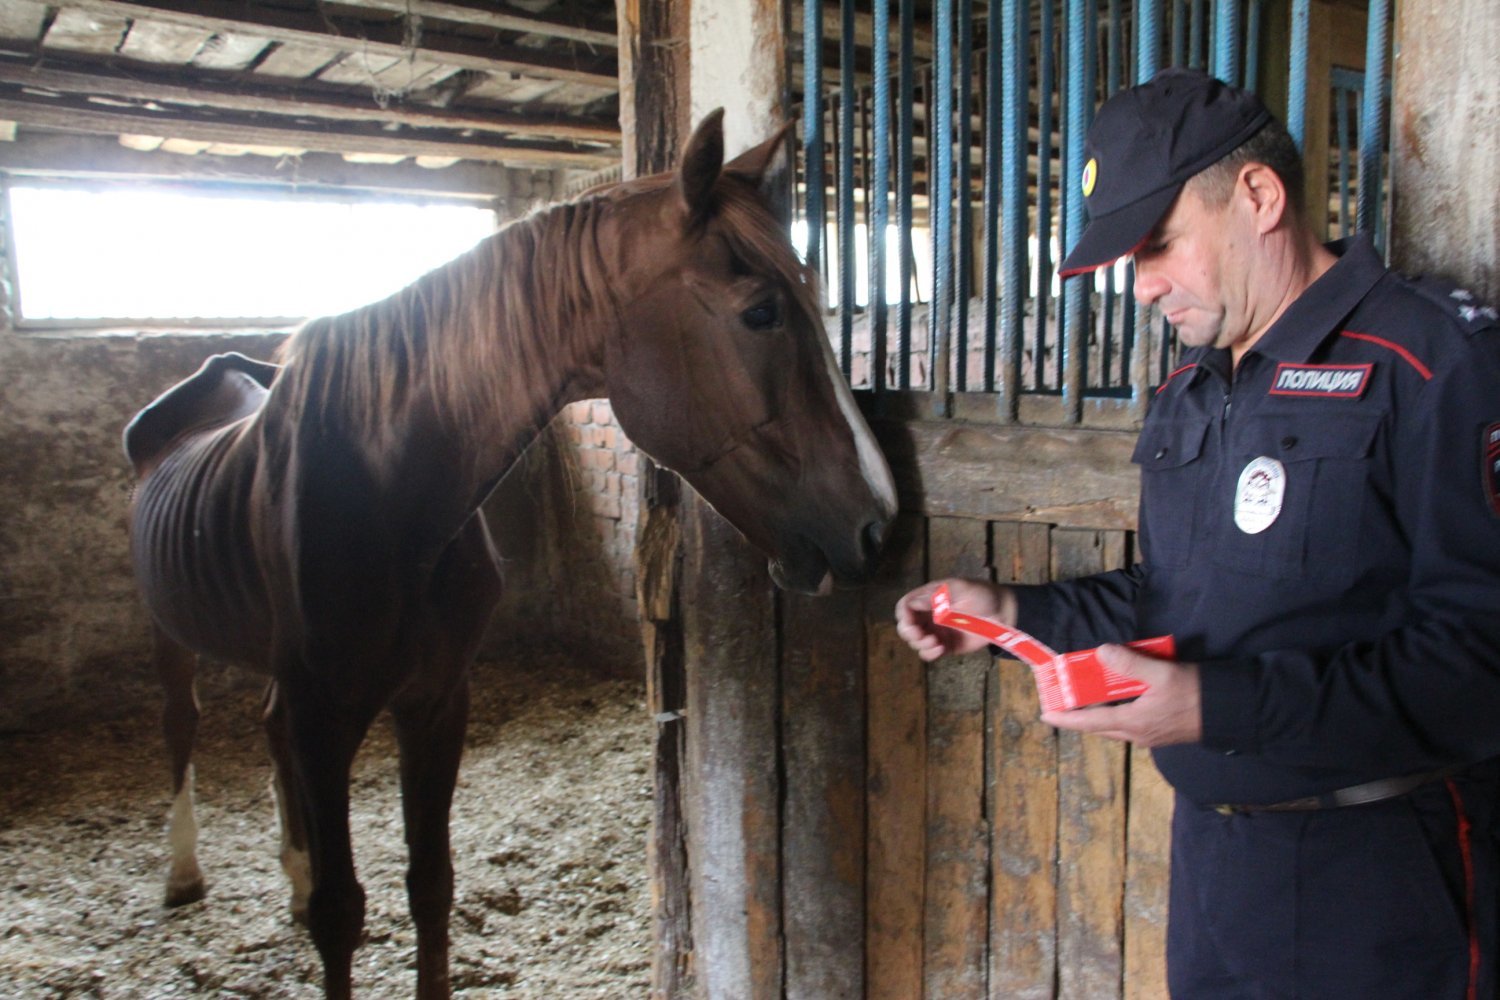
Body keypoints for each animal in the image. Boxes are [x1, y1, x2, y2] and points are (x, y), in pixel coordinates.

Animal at [126, 109, 888, 1000]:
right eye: (762, 312)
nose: (878, 521)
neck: (386, 490)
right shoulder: (325, 720)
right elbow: (342, 915)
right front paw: (315, 896)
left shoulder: (435, 699)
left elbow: (431, 883)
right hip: (169, 633)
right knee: (182, 722)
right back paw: (184, 871)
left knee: (266, 728)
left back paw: (290, 872)